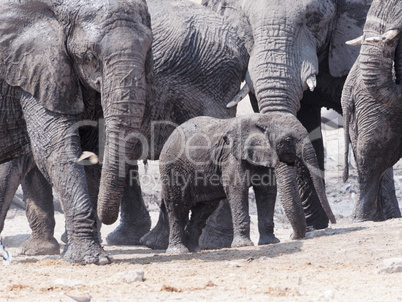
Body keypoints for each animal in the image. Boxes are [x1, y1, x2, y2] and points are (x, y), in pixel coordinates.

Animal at [0, 0, 154, 264]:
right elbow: (54, 149)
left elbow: (92, 150)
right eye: (90, 57)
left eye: (148, 50)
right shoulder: (35, 69)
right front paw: (91, 259)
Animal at [159, 112, 334, 254]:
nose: (292, 236)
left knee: (203, 210)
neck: (263, 118)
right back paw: (179, 251)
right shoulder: (231, 157)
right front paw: (244, 245)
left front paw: (270, 242)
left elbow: (267, 191)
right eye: (288, 140)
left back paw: (194, 249)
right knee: (177, 207)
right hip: (171, 169)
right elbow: (237, 189)